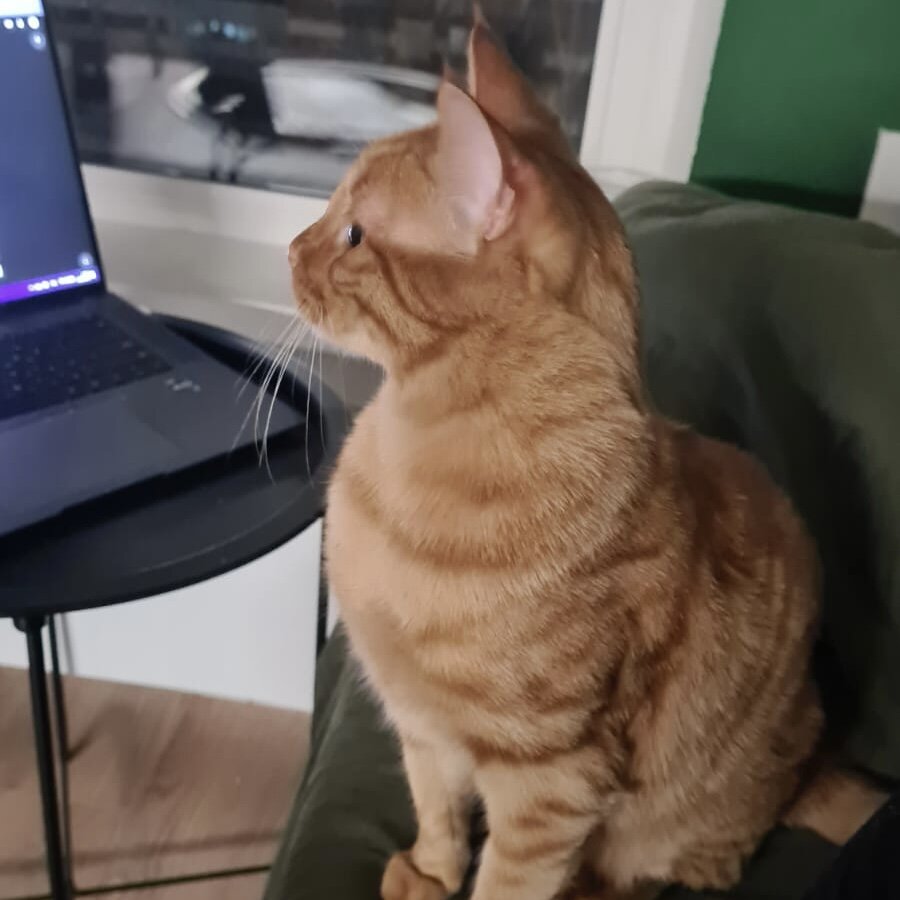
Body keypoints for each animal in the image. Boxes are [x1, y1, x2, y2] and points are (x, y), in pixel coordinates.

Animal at [287, 17, 884, 900]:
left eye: (354, 233)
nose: (290, 250)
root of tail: (806, 766)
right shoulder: (419, 725)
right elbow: (435, 810)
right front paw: (429, 872)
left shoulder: (550, 787)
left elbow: (507, 883)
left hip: (675, 824)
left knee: (652, 869)